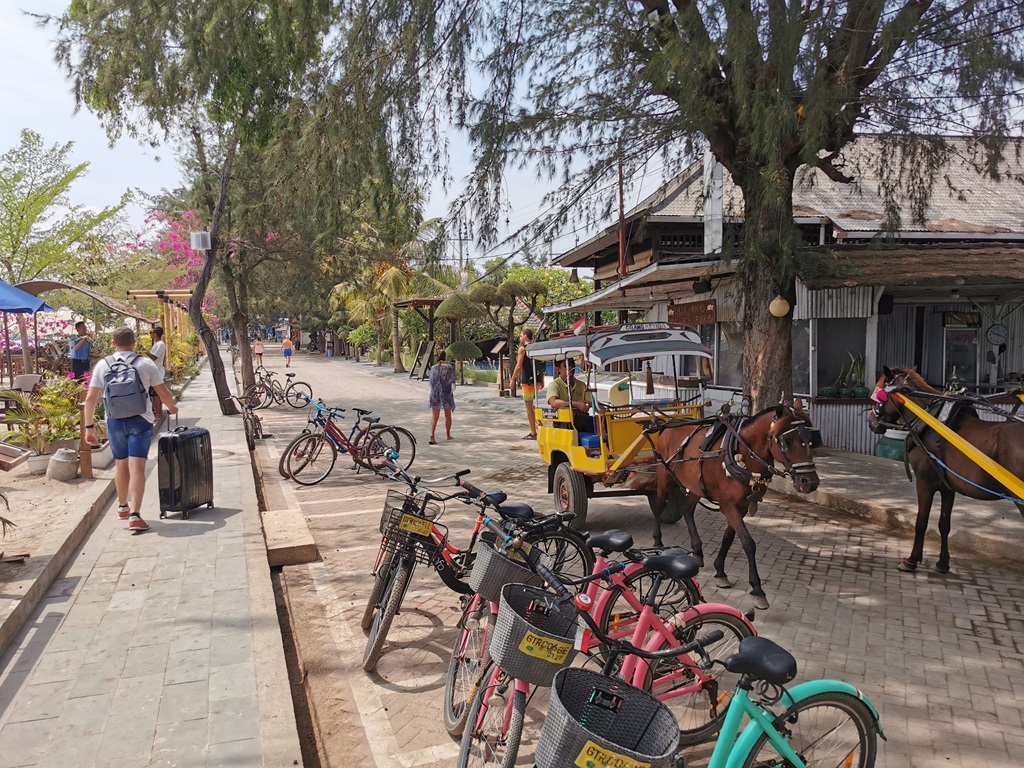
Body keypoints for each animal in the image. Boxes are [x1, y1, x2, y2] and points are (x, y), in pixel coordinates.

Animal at [651, 403, 819, 614]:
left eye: (809, 439)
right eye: (786, 441)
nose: (810, 483)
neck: (743, 454)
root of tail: (670, 423)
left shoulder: (742, 506)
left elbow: (728, 538)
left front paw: (720, 571)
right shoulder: (728, 505)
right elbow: (748, 543)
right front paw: (757, 589)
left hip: (696, 485)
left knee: (687, 509)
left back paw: (697, 551)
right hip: (663, 474)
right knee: (658, 505)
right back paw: (657, 541)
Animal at [868, 368, 1024, 577]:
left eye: (879, 394)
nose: (871, 420)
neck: (931, 421)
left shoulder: (924, 483)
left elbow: (921, 522)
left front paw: (911, 560)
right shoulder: (947, 487)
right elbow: (944, 524)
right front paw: (943, 562)